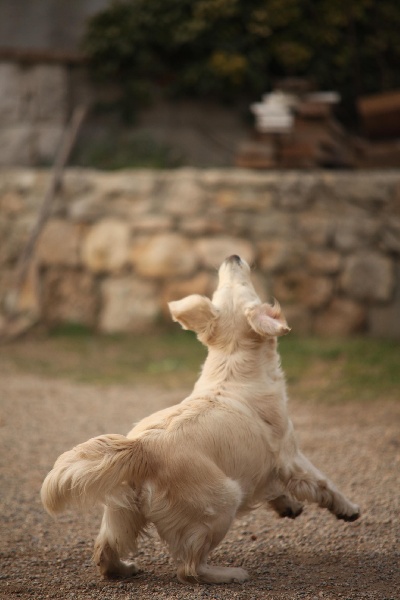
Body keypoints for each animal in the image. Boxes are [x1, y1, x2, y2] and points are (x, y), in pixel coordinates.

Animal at [40, 255, 360, 584]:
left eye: (222, 289)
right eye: (246, 288)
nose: (232, 257)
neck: (231, 364)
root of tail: (141, 448)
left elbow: (275, 487)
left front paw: (288, 504)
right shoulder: (290, 455)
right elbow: (323, 483)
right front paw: (348, 509)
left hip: (122, 512)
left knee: (104, 553)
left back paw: (123, 568)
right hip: (222, 503)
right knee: (189, 568)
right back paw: (229, 573)